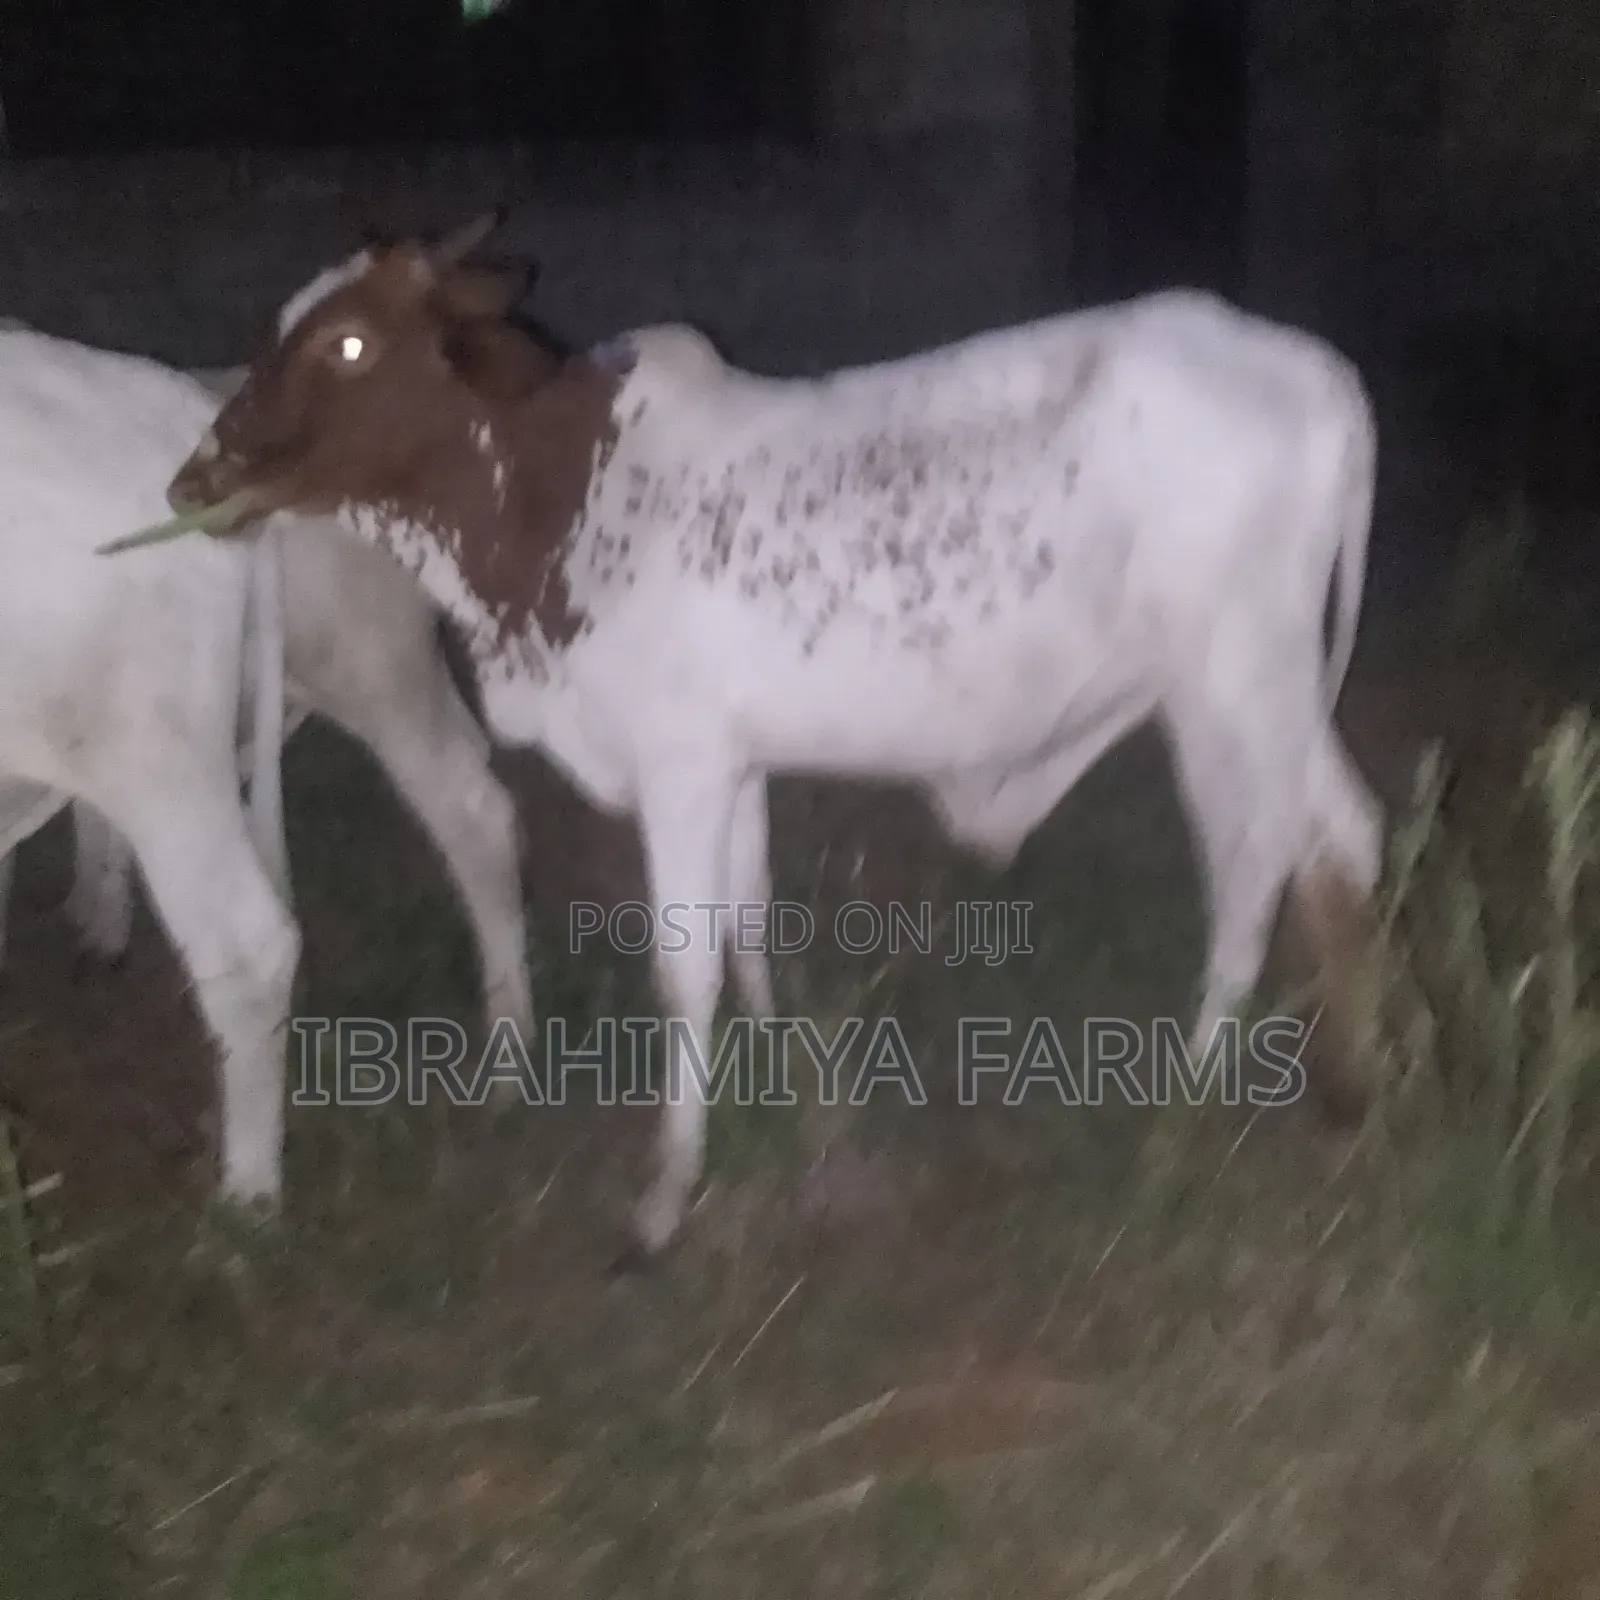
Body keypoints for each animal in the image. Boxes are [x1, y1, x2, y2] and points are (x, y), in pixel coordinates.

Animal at [155, 212, 1385, 1257]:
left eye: (350, 343)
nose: (196, 475)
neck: (554, 505)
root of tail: (1314, 371)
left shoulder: (681, 764)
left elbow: (685, 966)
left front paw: (665, 1194)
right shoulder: (733, 765)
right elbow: (748, 920)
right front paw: (792, 1080)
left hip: (1237, 679)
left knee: (1254, 864)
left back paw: (1195, 1103)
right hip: (1258, 693)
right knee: (1340, 843)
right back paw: (1344, 1098)